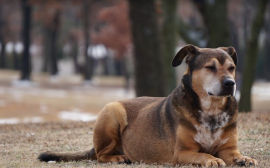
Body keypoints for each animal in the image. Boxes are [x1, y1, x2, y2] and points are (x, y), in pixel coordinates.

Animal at [38, 44, 258, 167]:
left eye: (232, 67)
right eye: (210, 67)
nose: (230, 83)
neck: (211, 110)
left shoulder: (228, 148)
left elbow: (235, 154)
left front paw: (244, 158)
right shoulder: (181, 152)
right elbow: (202, 154)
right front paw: (211, 159)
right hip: (111, 112)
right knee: (101, 156)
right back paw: (118, 158)